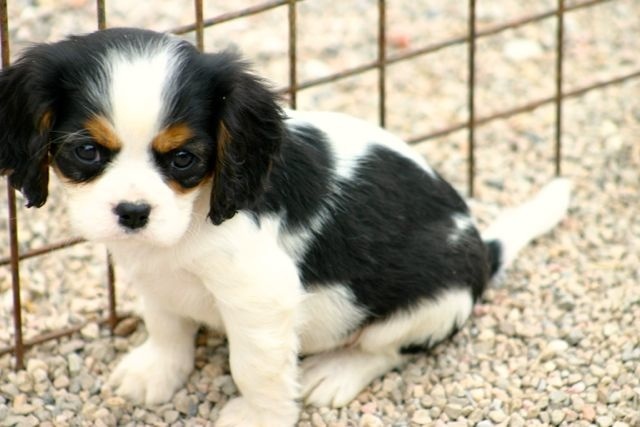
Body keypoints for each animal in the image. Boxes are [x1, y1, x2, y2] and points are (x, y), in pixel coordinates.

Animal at [0, 28, 571, 426]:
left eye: (184, 159)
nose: (133, 212)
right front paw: (157, 372)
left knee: (385, 348)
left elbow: (254, 367)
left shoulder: (260, 298)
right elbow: (166, 325)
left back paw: (337, 372)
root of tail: (482, 248)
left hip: (432, 300)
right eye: (86, 151)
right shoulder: (153, 275)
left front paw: (259, 416)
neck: (193, 217)